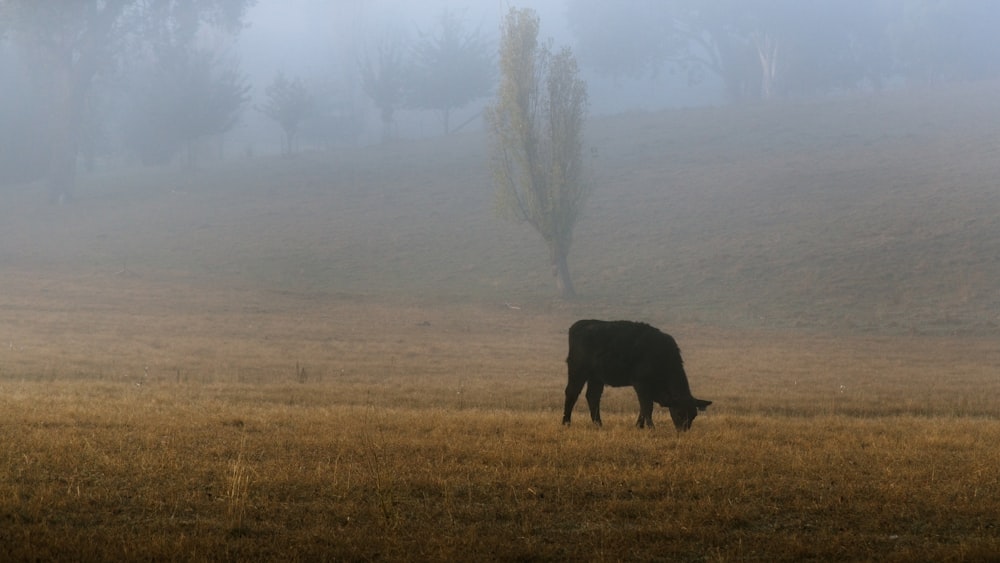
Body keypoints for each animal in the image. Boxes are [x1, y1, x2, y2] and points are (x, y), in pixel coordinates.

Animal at [564, 322, 712, 432]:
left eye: (694, 415)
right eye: (679, 413)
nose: (683, 431)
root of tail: (579, 325)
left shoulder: (648, 390)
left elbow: (644, 407)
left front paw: (639, 426)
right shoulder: (641, 384)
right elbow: (647, 407)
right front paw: (651, 428)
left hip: (596, 377)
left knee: (593, 396)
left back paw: (598, 424)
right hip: (578, 371)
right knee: (572, 393)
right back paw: (566, 422)